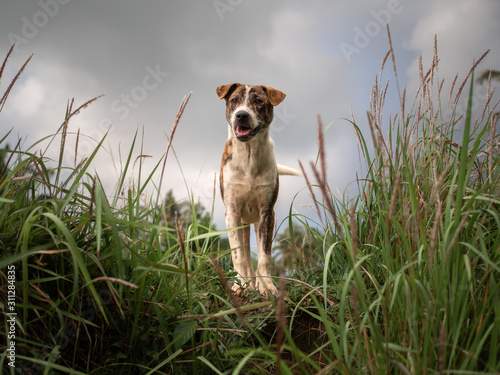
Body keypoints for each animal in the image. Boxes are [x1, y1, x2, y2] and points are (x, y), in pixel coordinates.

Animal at [216, 83, 300, 296]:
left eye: (258, 101)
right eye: (234, 100)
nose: (242, 115)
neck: (248, 156)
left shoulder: (267, 213)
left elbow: (264, 257)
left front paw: (268, 287)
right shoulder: (232, 213)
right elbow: (238, 256)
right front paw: (239, 286)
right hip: (243, 224)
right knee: (245, 258)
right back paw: (246, 284)